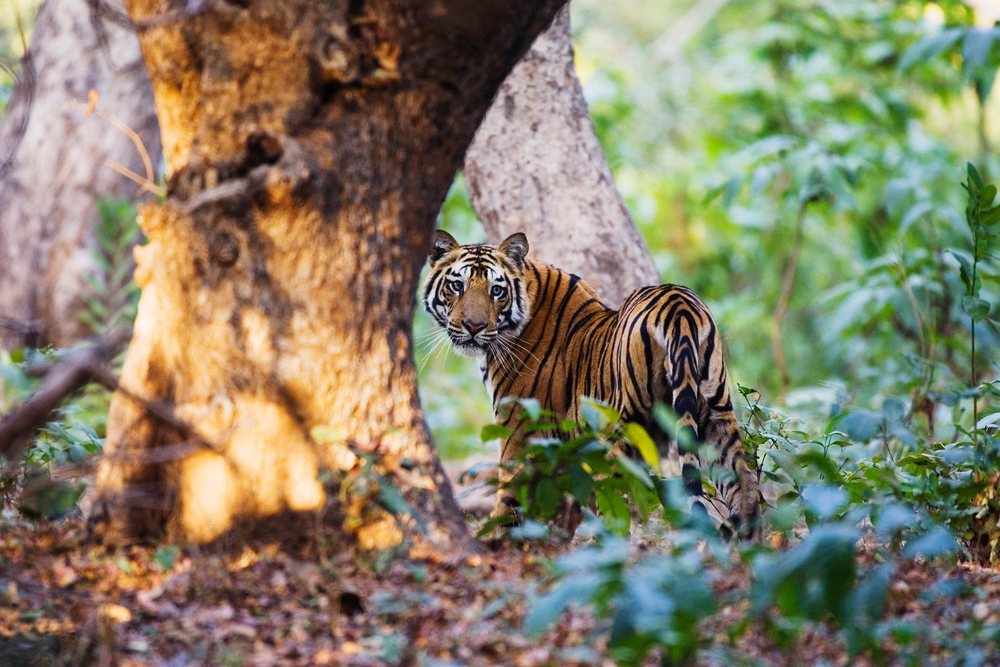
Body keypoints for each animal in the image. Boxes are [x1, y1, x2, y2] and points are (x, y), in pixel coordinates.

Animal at [422, 230, 760, 540]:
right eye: (457, 286)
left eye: (496, 290)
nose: (473, 326)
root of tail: (678, 307)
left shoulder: (518, 426)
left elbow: (511, 495)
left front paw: (503, 541)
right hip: (716, 415)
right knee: (746, 485)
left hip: (623, 431)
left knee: (616, 502)